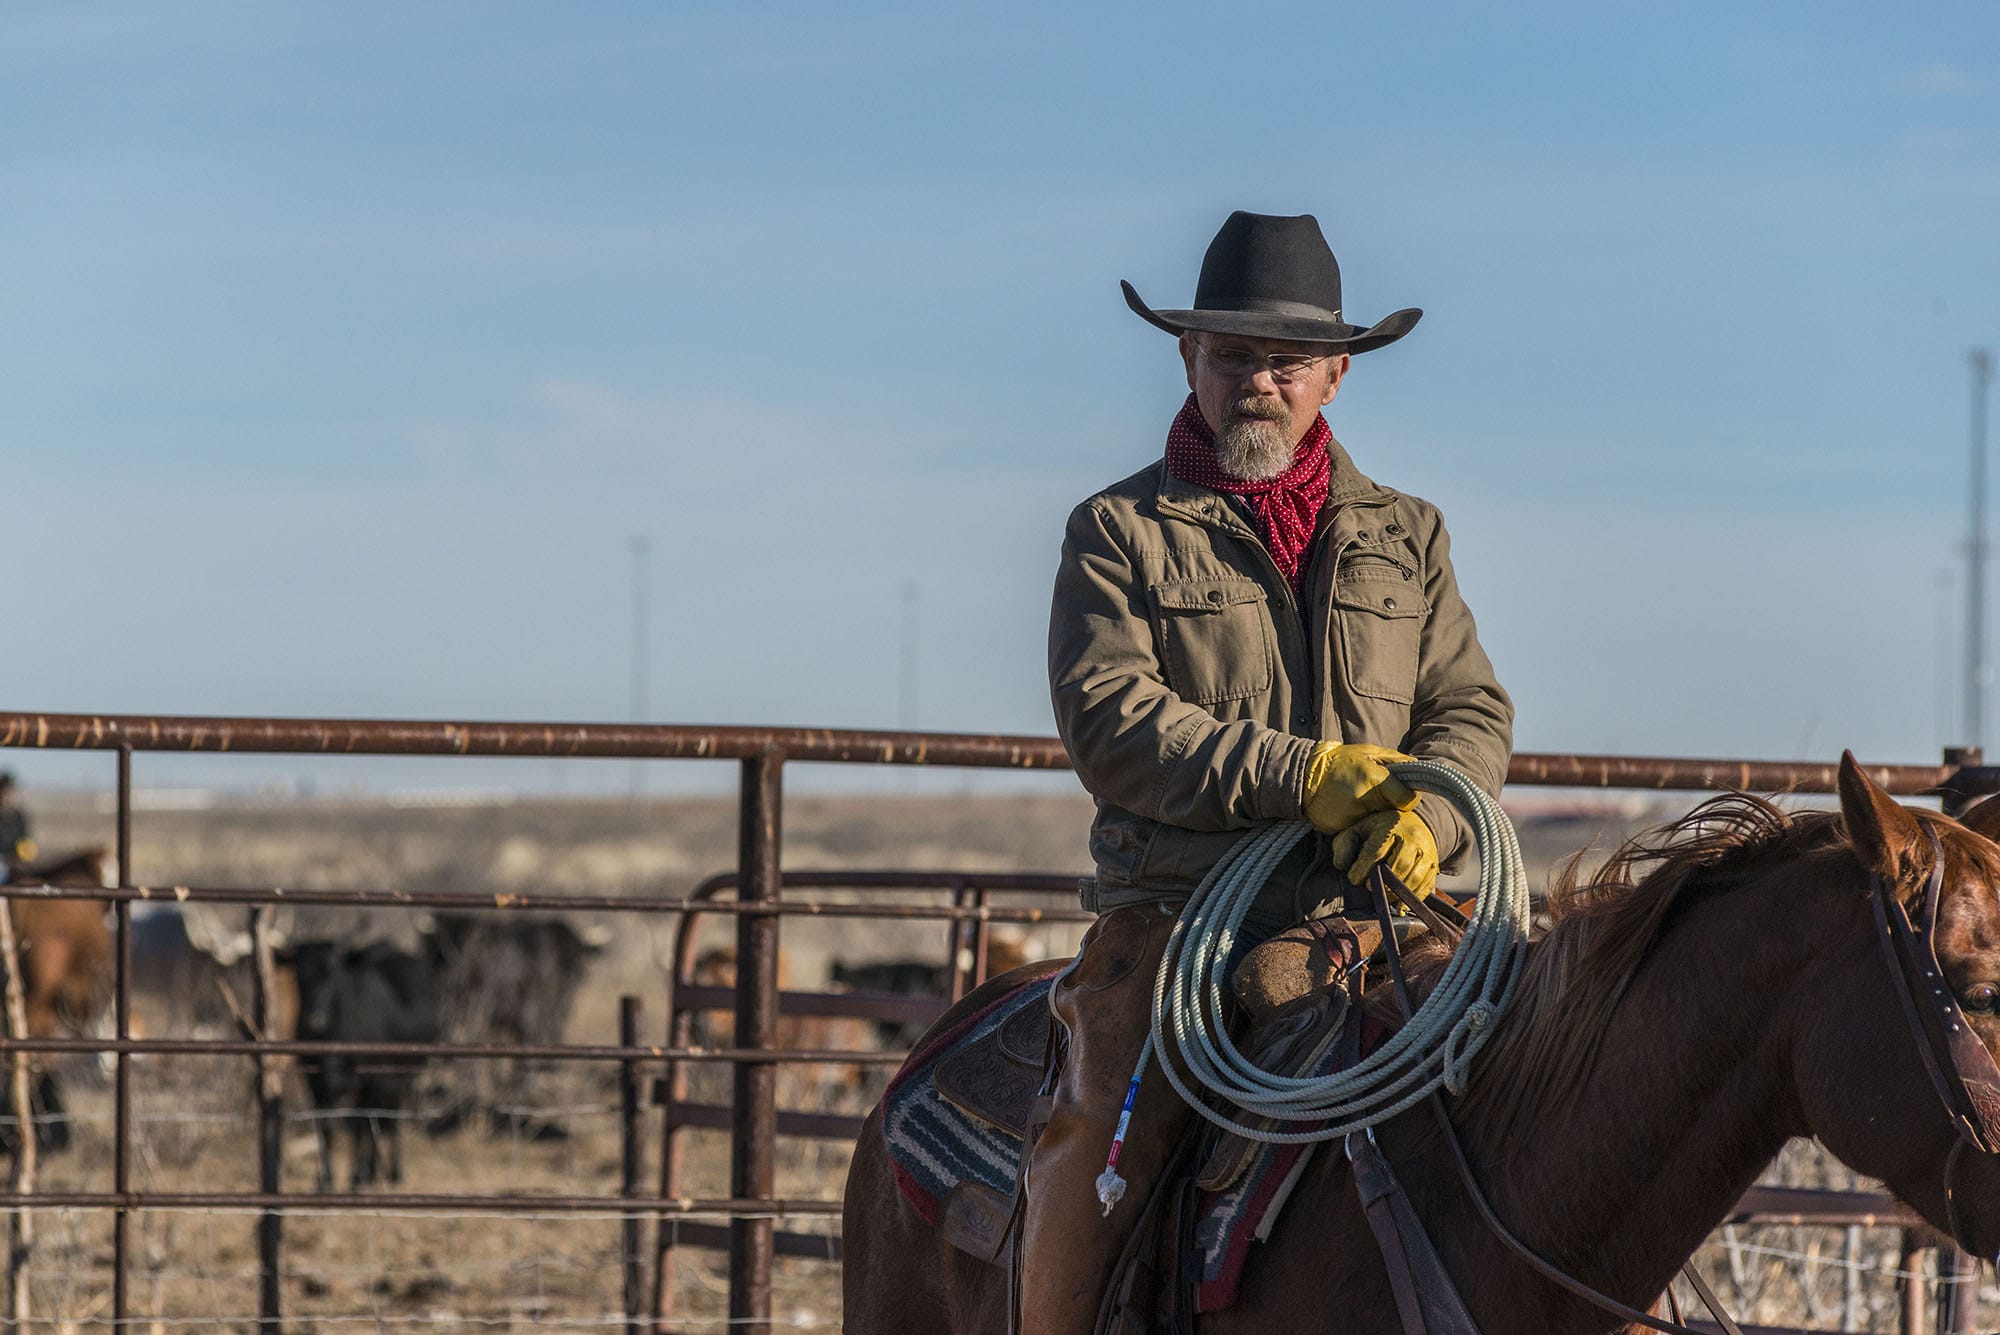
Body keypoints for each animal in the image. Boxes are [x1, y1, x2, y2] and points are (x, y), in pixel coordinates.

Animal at [280, 939, 436, 1191]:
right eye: (298, 974)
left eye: (333, 974)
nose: (316, 1020)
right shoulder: (316, 1082)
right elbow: (325, 1125)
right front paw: (325, 1179)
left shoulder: (370, 1079)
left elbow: (360, 1123)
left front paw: (358, 1175)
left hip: (403, 1075)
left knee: (390, 1119)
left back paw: (392, 1171)